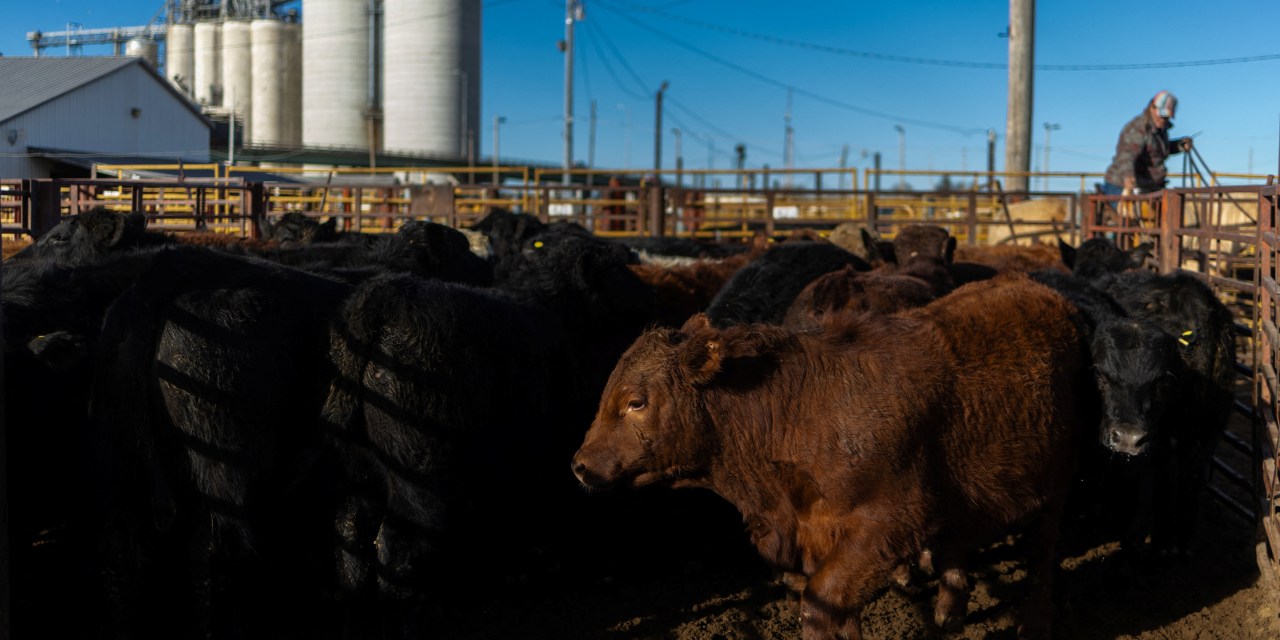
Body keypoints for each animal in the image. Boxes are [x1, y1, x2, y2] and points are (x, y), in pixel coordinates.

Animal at [573, 273, 1094, 639]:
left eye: (636, 401)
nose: (579, 464)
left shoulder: (884, 527)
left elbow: (822, 605)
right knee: (959, 546)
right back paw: (949, 614)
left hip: (1057, 483)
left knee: (1042, 555)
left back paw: (1033, 623)